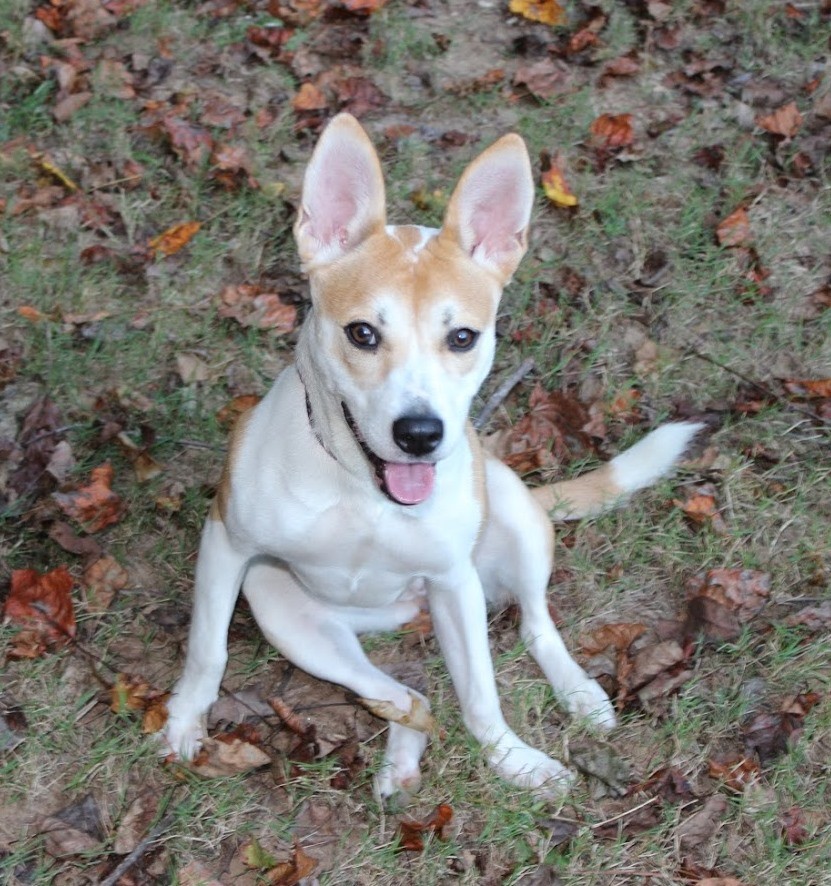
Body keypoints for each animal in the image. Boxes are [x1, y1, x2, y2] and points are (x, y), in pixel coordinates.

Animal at [164, 114, 704, 800]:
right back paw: (401, 761)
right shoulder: (226, 546)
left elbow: (481, 697)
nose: (420, 433)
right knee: (409, 697)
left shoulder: (453, 582)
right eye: (363, 333)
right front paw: (184, 720)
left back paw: (579, 694)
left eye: (463, 337)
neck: (363, 491)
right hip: (286, 612)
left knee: (534, 624)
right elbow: (207, 649)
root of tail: (400, 615)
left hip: (509, 519)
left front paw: (513, 760)